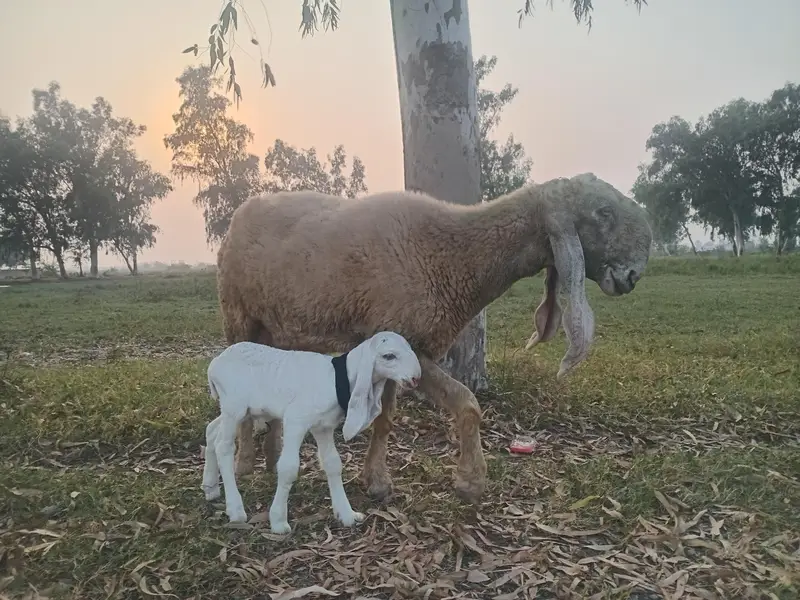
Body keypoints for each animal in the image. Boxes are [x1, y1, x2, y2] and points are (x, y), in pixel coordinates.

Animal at [201, 331, 422, 533]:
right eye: (389, 356)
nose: (415, 378)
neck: (338, 378)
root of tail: (214, 365)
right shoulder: (296, 420)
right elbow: (288, 467)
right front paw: (278, 522)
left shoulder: (323, 426)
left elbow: (333, 464)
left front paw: (347, 514)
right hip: (233, 407)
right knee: (223, 446)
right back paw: (236, 510)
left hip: (240, 410)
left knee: (211, 431)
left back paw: (210, 488)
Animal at [215, 172, 653, 505]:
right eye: (603, 212)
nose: (633, 276)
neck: (457, 253)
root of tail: (241, 213)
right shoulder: (409, 342)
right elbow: (468, 403)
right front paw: (471, 482)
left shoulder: (401, 349)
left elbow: (385, 419)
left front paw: (377, 482)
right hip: (237, 315)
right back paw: (245, 465)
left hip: (280, 330)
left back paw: (273, 458)